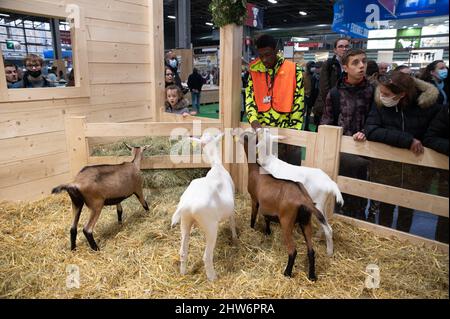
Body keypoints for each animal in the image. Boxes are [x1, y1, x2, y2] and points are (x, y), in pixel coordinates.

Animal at [171, 131, 237, 282]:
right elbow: (232, 221)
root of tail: (187, 204)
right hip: (211, 225)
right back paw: (213, 277)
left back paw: (183, 273)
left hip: (185, 221)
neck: (216, 165)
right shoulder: (232, 205)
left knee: (182, 251)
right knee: (206, 256)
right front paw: (235, 236)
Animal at [241, 131, 326, 282]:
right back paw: (311, 276)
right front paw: (267, 231)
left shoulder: (254, 199)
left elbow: (253, 215)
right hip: (306, 221)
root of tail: (304, 200)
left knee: (293, 250)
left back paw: (287, 273)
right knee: (311, 251)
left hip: (287, 221)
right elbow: (267, 218)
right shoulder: (267, 206)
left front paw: (252, 228)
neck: (256, 169)